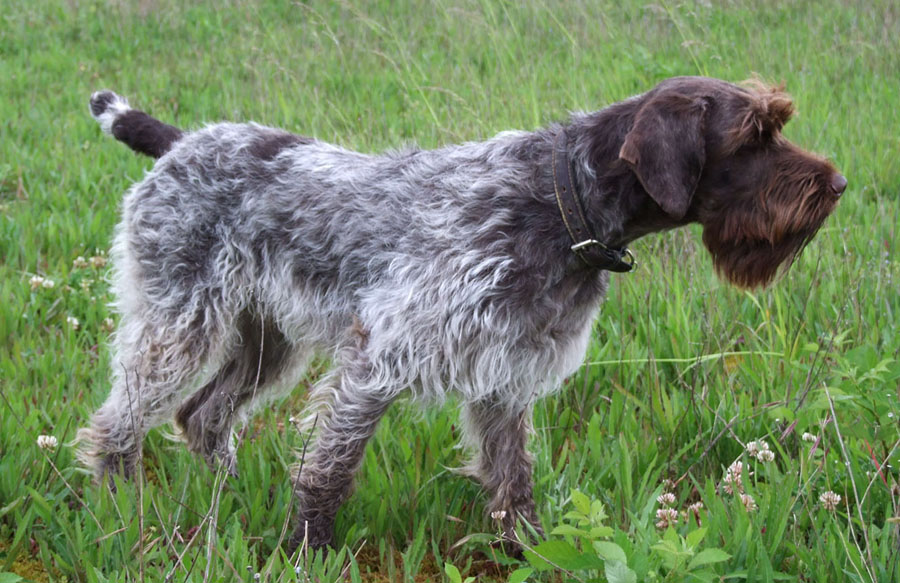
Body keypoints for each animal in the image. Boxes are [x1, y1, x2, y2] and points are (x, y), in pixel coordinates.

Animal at [79, 77, 845, 552]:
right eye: (753, 137)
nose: (838, 183)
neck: (561, 202)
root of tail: (184, 142)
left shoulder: (506, 377)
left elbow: (513, 481)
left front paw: (526, 553)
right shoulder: (380, 358)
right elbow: (330, 469)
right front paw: (306, 547)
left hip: (266, 341)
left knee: (203, 416)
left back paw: (229, 494)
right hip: (181, 322)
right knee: (121, 422)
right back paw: (122, 504)